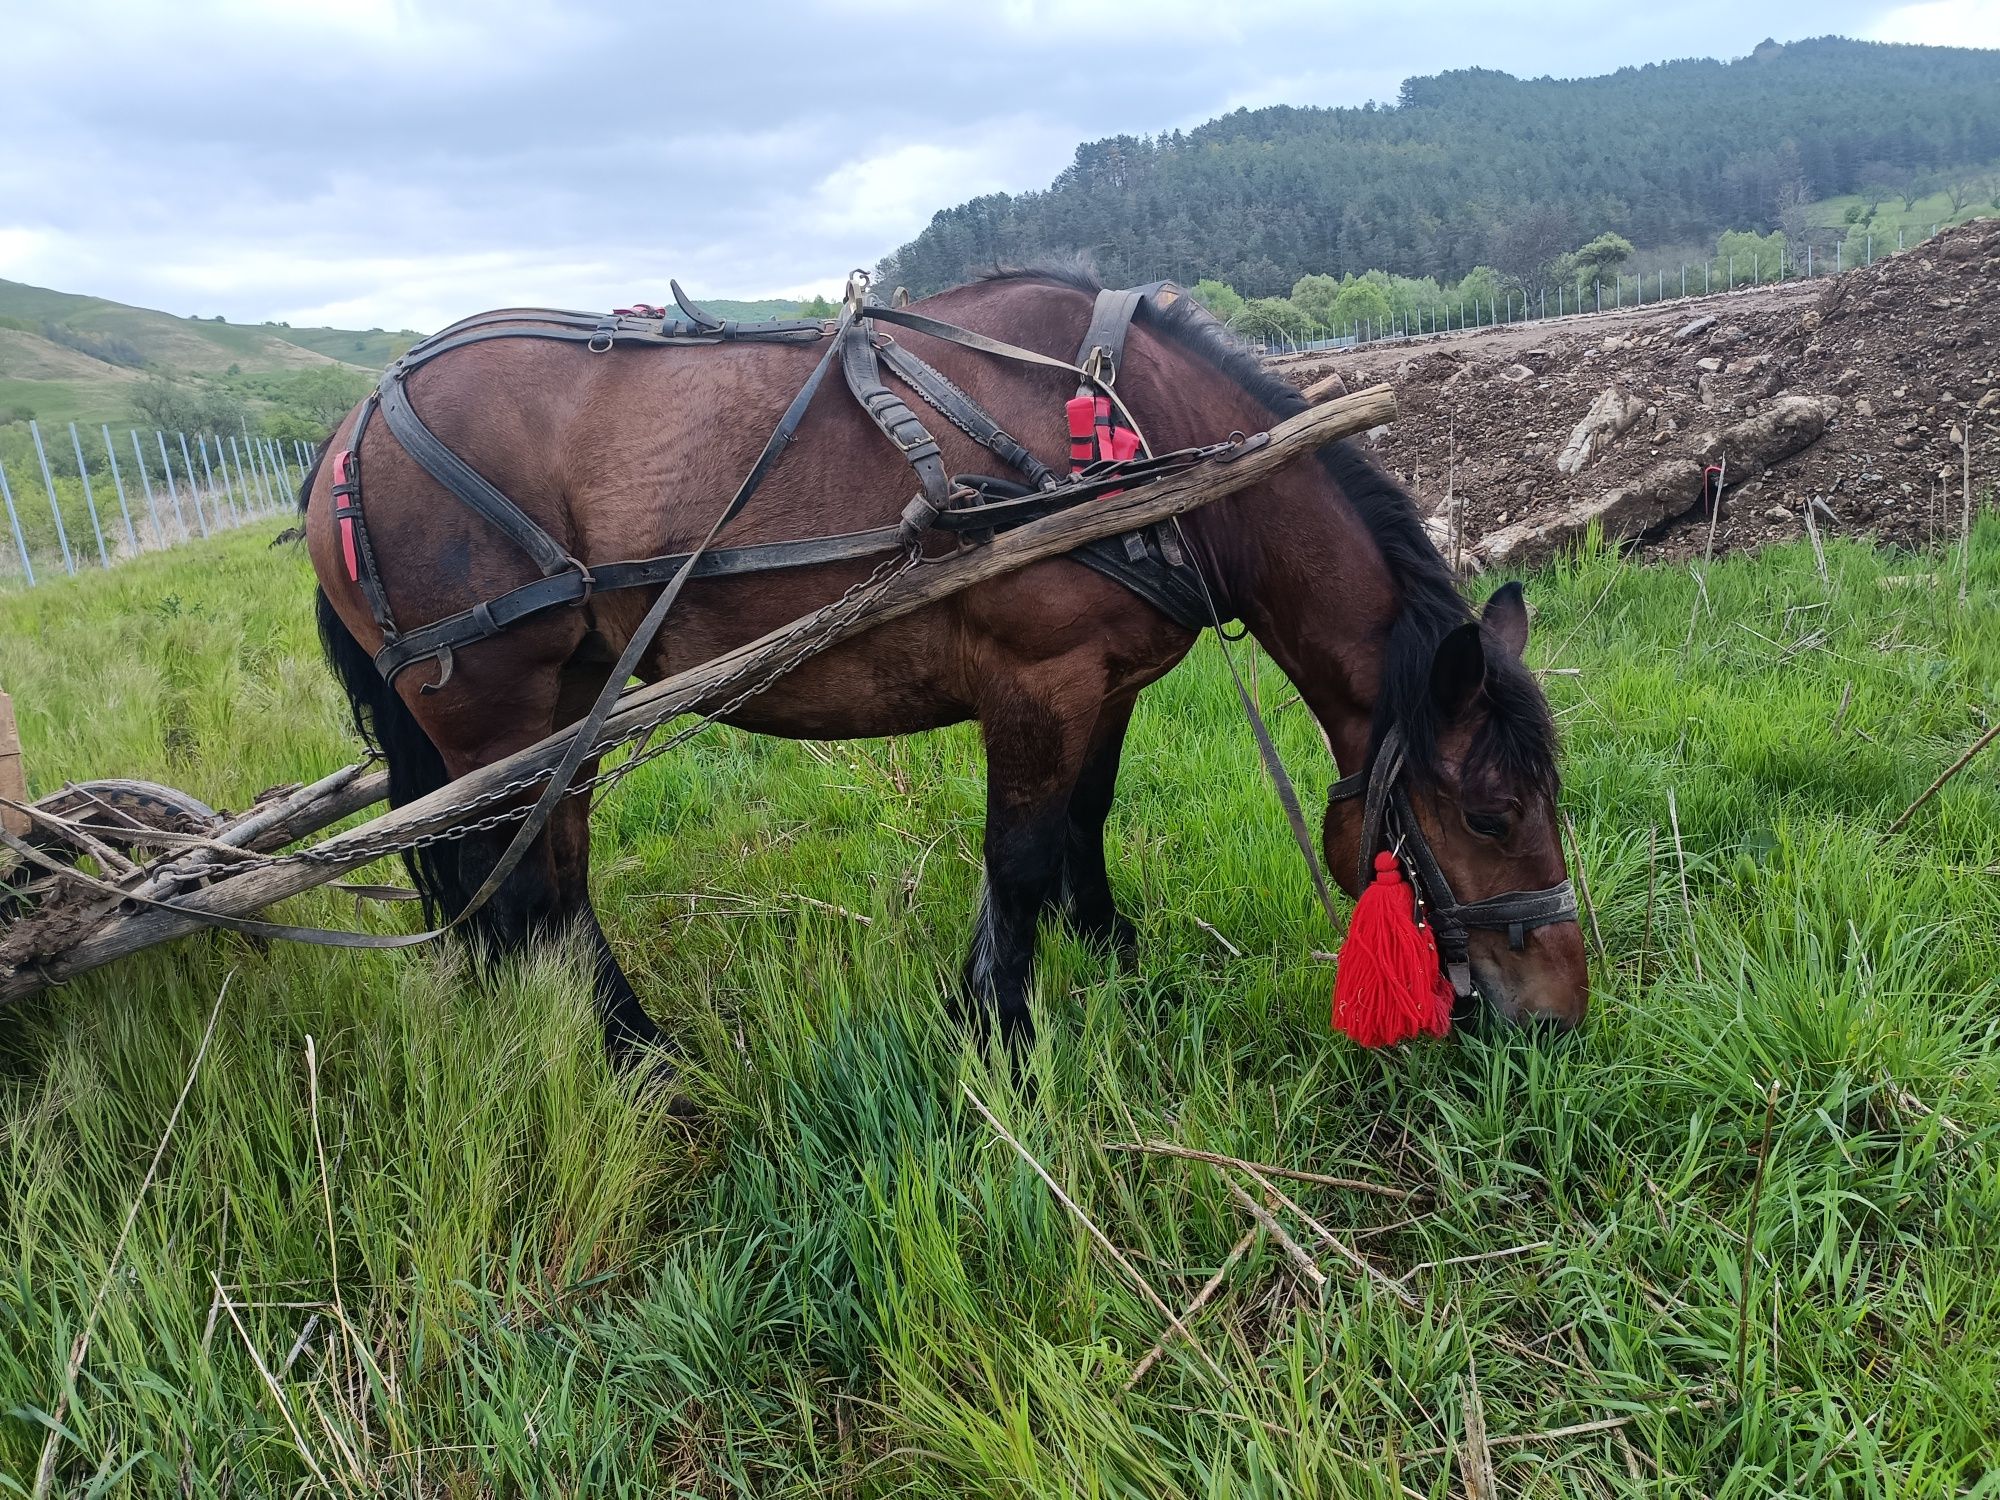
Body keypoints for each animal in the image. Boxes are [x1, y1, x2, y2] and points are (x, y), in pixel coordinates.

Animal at [304, 274, 1584, 1072]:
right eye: (1488, 810)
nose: (1560, 1014)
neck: (1129, 432)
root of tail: (346, 440)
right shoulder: (1036, 680)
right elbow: (1016, 857)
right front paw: (997, 1033)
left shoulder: (1104, 686)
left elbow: (1080, 826)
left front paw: (1110, 960)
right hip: (499, 719)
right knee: (529, 895)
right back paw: (639, 1064)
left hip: (572, 709)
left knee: (540, 887)